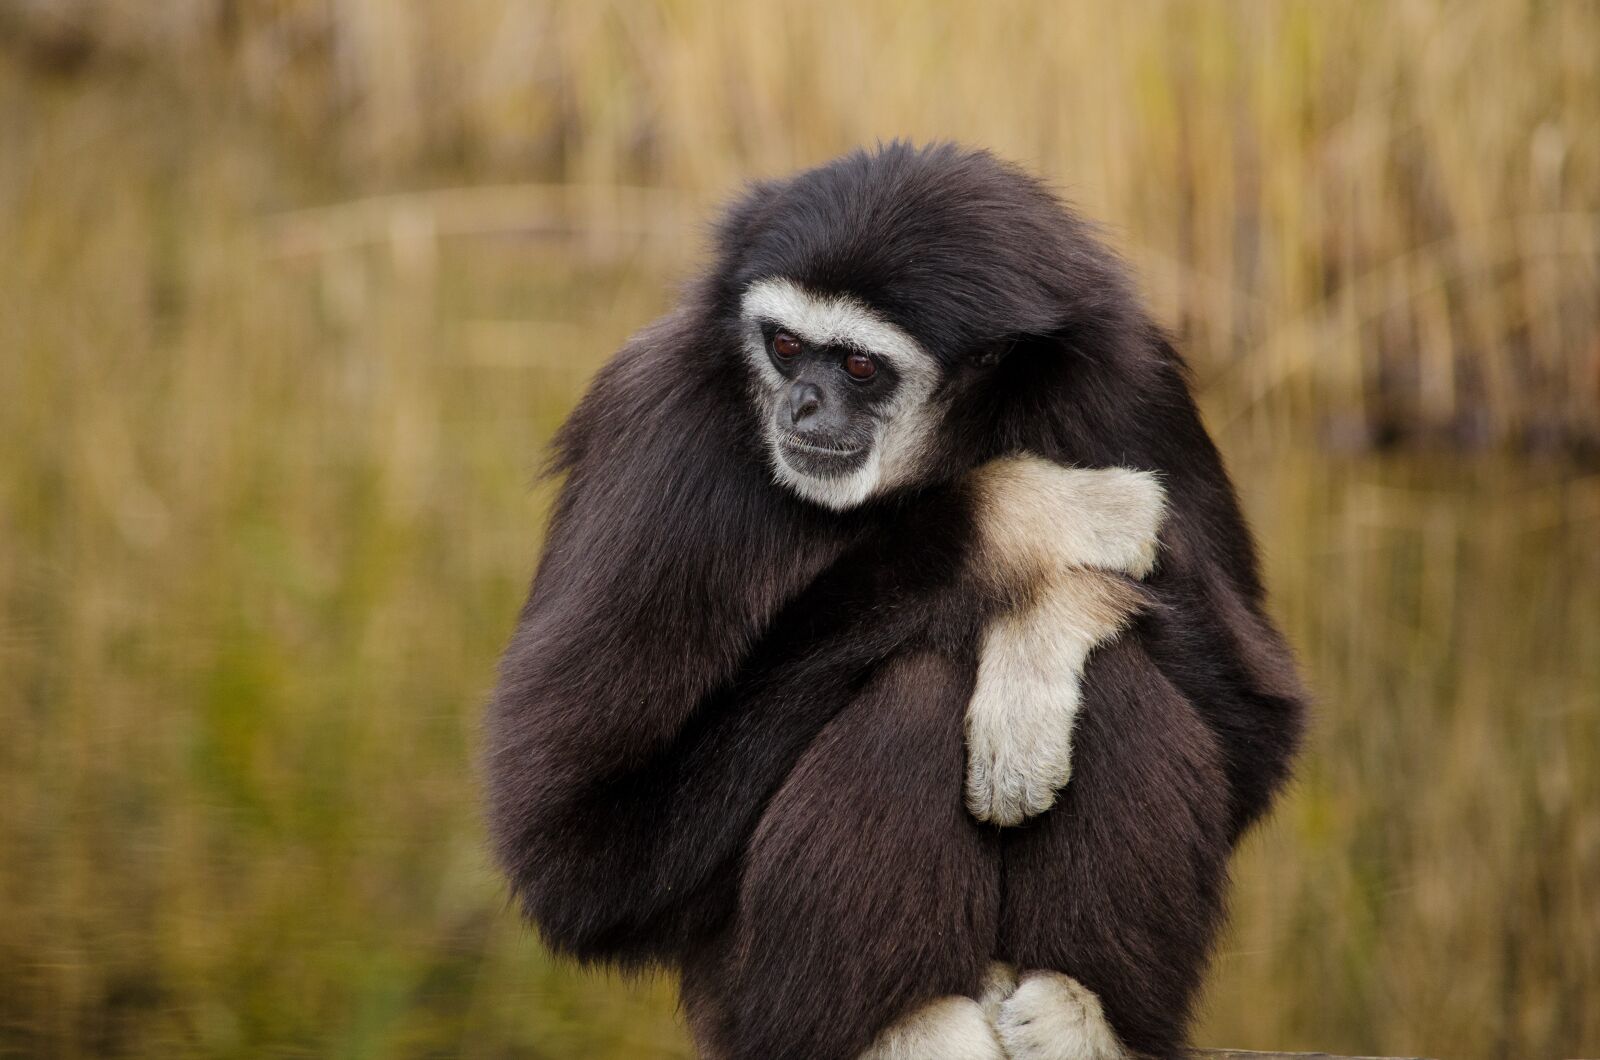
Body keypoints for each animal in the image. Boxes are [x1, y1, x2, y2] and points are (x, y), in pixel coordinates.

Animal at [484, 142, 1307, 1059]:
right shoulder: (659, 435)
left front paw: (1035, 649)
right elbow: (578, 850)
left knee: (1119, 677)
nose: (802, 403)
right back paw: (904, 1026)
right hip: (745, 1011)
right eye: (782, 346)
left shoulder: (1134, 383)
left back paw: (1086, 1015)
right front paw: (1025, 527)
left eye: (857, 364)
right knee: (914, 690)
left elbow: (1258, 729)